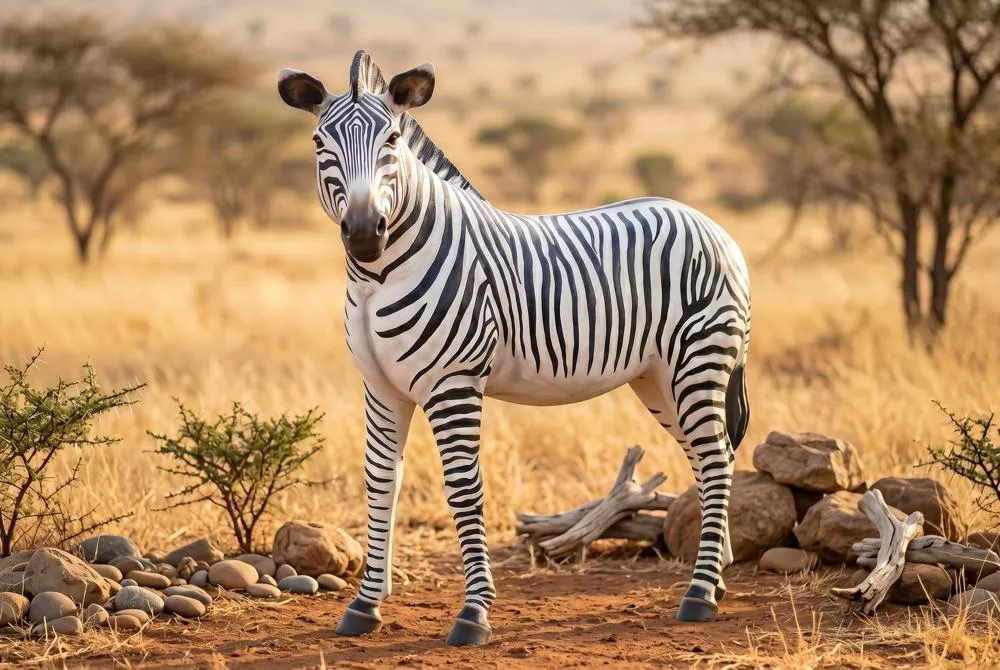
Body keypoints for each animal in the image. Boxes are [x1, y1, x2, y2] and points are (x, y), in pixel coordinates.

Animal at [277, 50, 751, 646]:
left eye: (392, 139)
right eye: (319, 142)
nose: (365, 233)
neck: (375, 277)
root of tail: (710, 224)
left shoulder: (453, 384)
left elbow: (464, 491)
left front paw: (473, 612)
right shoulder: (381, 388)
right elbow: (381, 483)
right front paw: (365, 606)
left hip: (700, 357)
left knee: (714, 458)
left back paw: (699, 596)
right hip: (659, 378)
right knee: (713, 457)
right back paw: (718, 575)